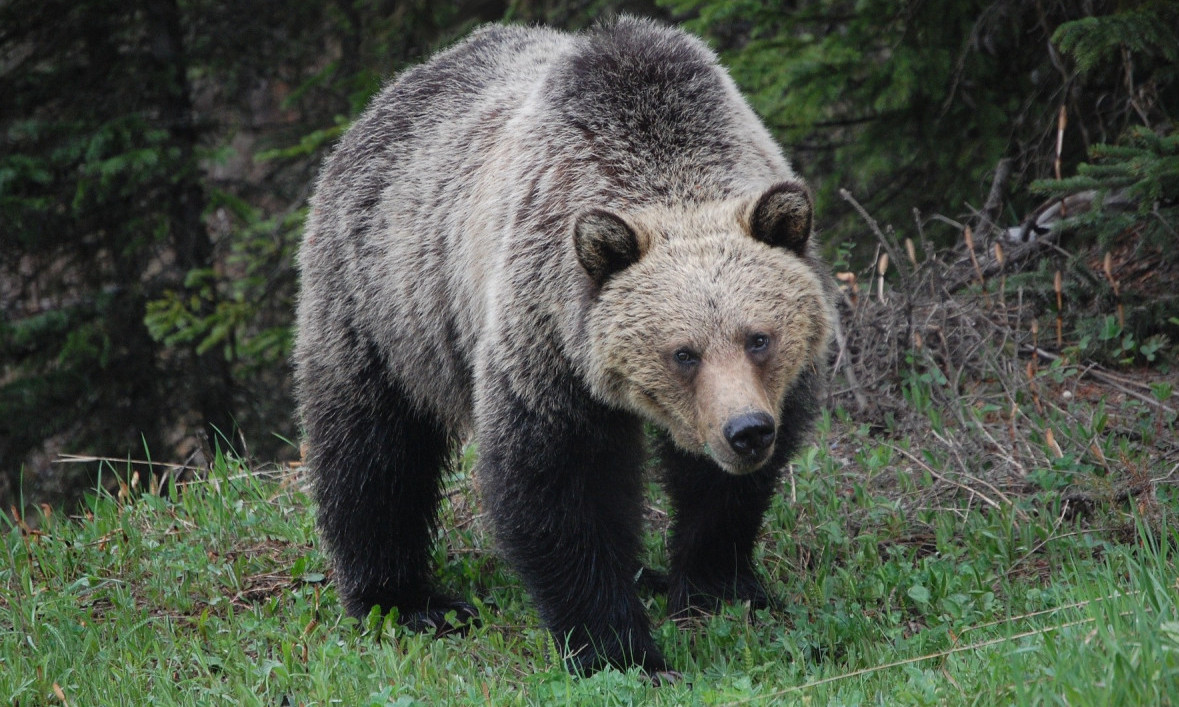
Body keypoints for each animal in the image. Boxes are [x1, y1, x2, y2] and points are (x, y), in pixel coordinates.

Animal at [290, 16, 834, 678]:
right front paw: (620, 648)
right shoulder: (546, 338)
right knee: (374, 449)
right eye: (683, 352)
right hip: (384, 299)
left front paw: (719, 586)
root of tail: (387, 94)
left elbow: (722, 492)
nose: (747, 431)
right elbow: (560, 484)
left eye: (759, 338)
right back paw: (406, 599)